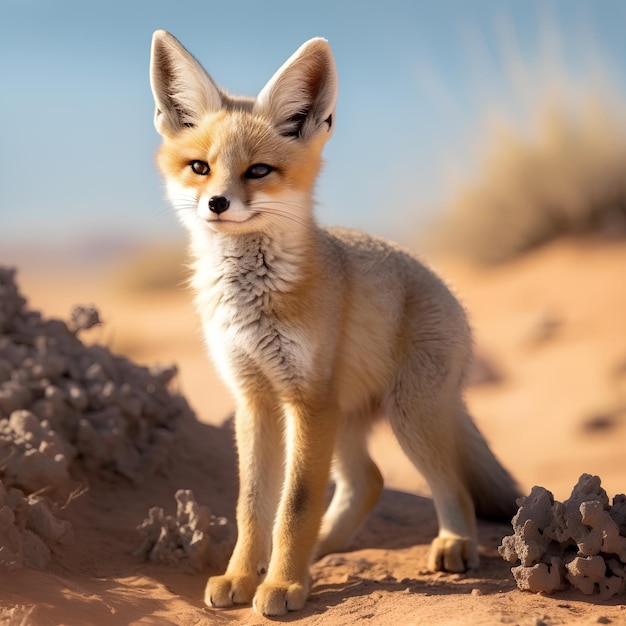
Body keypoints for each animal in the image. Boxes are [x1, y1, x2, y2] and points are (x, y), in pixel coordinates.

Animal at [147, 30, 516, 616]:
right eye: (199, 167)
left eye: (258, 171)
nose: (217, 203)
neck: (252, 300)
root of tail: (448, 290)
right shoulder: (254, 399)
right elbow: (254, 505)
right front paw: (244, 574)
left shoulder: (305, 399)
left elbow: (295, 504)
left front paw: (283, 586)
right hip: (344, 419)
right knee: (369, 480)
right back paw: (318, 551)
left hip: (405, 415)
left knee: (451, 485)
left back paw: (454, 543)